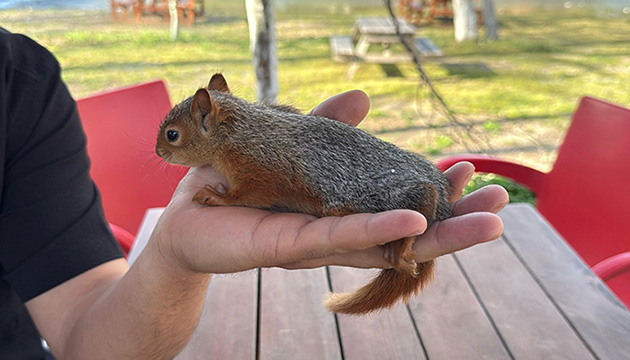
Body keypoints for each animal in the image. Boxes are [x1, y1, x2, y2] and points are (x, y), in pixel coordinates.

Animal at [158, 73, 454, 316]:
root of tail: (443, 196)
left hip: (371, 193)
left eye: (172, 134)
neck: (236, 129)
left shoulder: (261, 167)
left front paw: (216, 196)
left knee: (421, 196)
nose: (158, 152)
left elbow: (248, 194)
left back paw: (405, 236)